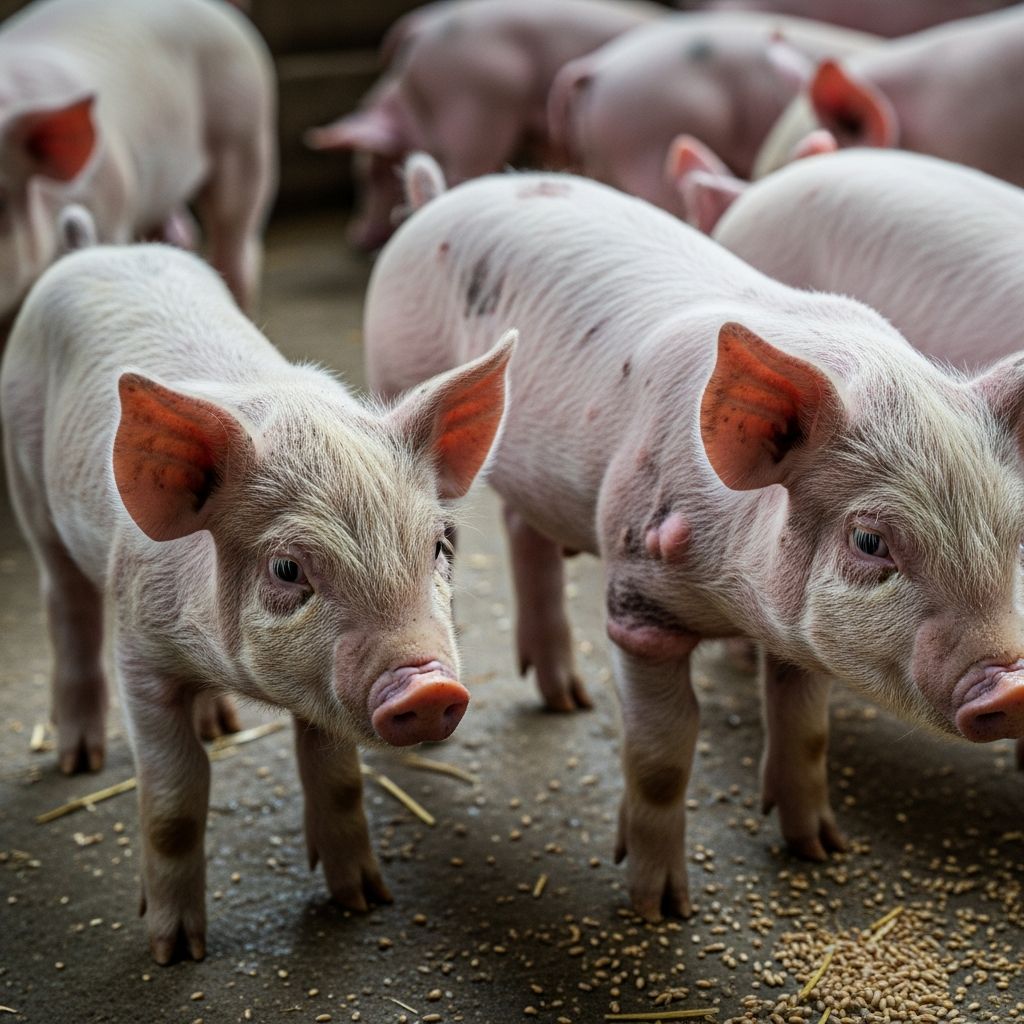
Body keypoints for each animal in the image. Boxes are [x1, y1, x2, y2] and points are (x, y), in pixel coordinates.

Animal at [0, 234, 513, 961]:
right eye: (288, 568)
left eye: (440, 545)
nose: (428, 685)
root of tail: (97, 248)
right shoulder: (139, 653)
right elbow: (175, 796)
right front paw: (175, 952)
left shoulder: (323, 694)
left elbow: (337, 775)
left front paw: (365, 901)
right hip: (29, 481)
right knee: (65, 605)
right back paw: (80, 761)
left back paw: (222, 725)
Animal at [364, 157, 1024, 919]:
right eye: (869, 541)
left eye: (1015, 528)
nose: (1012, 685)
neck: (736, 602)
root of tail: (439, 197)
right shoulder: (637, 596)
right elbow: (663, 749)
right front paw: (659, 909)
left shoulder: (796, 630)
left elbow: (807, 728)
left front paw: (822, 850)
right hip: (402, 385)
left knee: (522, 528)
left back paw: (569, 699)